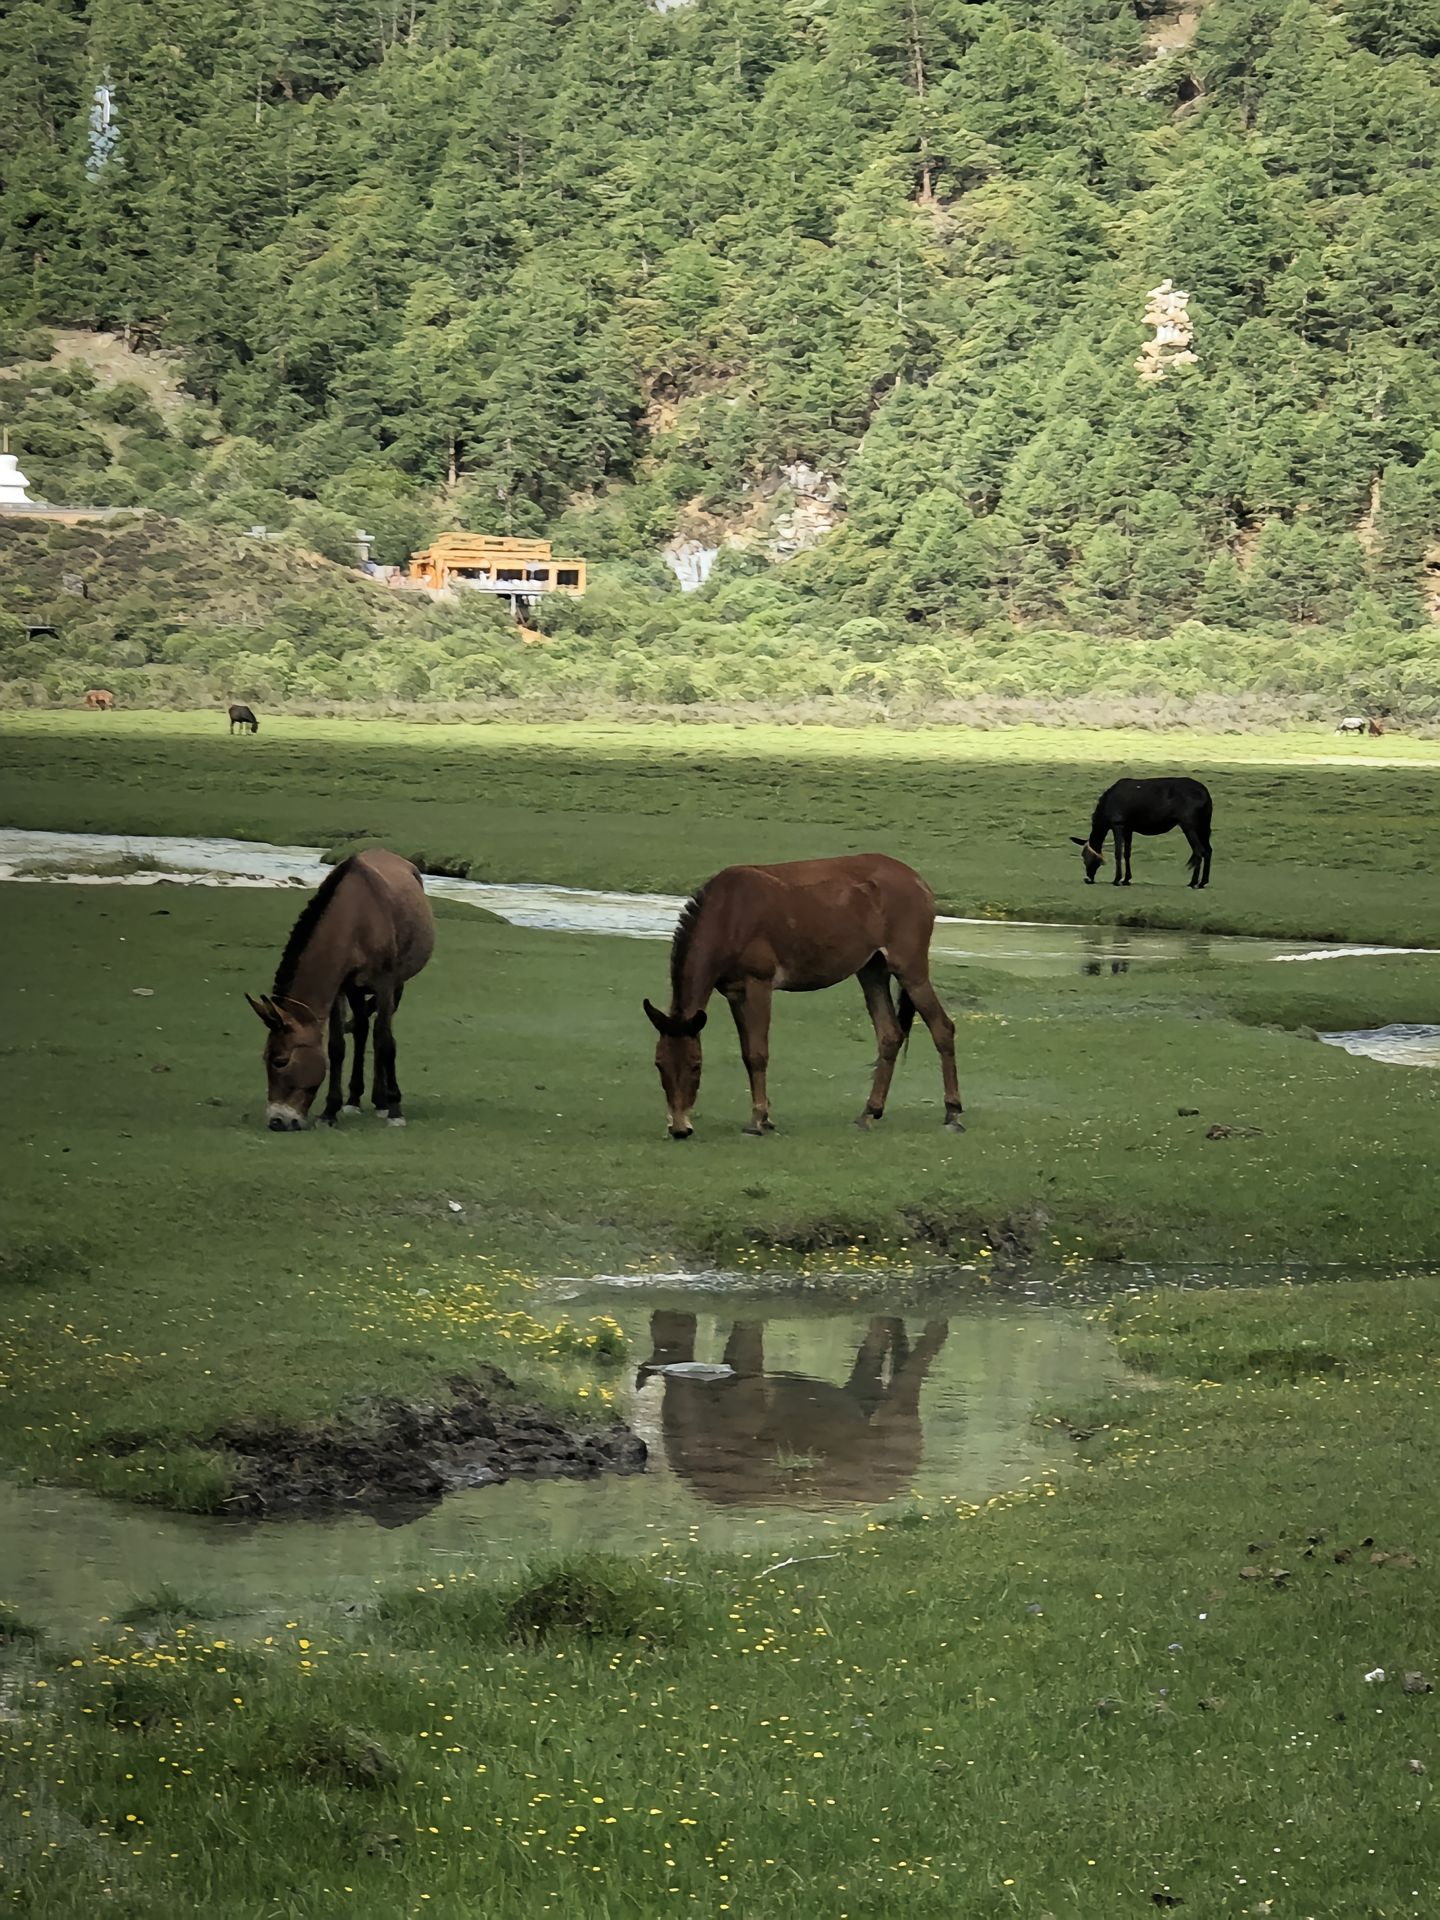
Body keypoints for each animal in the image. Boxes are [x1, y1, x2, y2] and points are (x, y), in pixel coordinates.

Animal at [247, 848, 433, 1128]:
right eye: (265, 1059)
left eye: (280, 1061)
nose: (277, 1121)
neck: (357, 917)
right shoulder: (339, 988)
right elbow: (336, 1046)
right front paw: (330, 1111)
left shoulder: (385, 984)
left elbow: (385, 1042)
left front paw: (395, 1109)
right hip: (356, 990)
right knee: (362, 1030)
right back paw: (355, 1098)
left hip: (396, 985)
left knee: (377, 1033)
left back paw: (382, 1101)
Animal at [645, 856, 963, 1136]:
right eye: (659, 1064)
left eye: (696, 1066)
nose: (679, 1128)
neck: (729, 915)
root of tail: (920, 883)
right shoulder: (734, 992)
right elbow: (747, 1053)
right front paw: (765, 1116)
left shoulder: (758, 983)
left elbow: (758, 1053)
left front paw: (757, 1120)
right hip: (872, 969)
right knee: (889, 1036)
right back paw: (869, 1113)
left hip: (910, 968)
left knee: (942, 1028)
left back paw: (953, 1113)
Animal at [1075, 775, 1213, 887]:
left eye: (1083, 856)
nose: (1088, 879)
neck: (1103, 814)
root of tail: (1206, 795)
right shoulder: (1128, 828)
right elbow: (1127, 853)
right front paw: (1126, 879)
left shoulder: (1117, 823)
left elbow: (1118, 852)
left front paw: (1117, 879)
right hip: (1203, 826)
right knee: (1208, 850)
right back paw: (1203, 882)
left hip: (1189, 824)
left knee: (1198, 851)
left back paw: (1193, 882)